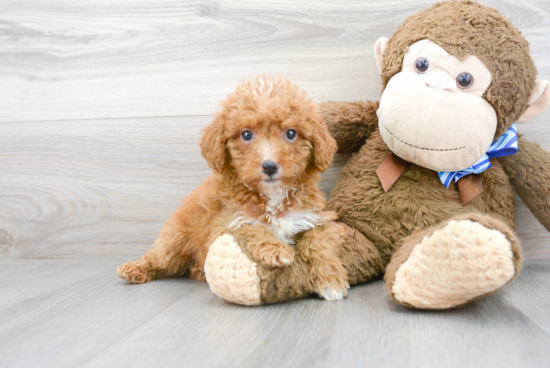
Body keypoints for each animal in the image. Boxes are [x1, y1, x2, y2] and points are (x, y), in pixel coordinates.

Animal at [118, 75, 352, 300]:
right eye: (246, 135)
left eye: (291, 134)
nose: (269, 166)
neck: (271, 196)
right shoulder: (224, 223)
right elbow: (251, 226)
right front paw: (276, 249)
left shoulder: (311, 218)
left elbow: (318, 242)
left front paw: (331, 280)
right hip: (175, 238)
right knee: (160, 258)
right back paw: (134, 269)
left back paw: (198, 271)